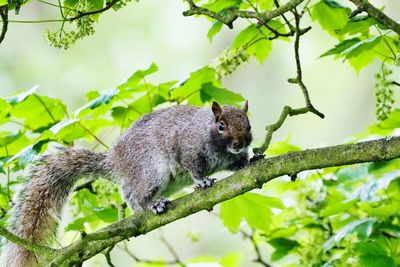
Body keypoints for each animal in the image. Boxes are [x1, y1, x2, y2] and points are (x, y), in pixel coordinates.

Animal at [1, 101, 253, 266]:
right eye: (221, 126)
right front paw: (203, 181)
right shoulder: (188, 147)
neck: (218, 147)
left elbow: (237, 162)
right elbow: (194, 167)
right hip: (152, 171)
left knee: (128, 192)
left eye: (249, 125)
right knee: (136, 195)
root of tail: (116, 160)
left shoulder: (230, 157)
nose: (239, 143)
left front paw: (251, 159)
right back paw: (152, 205)